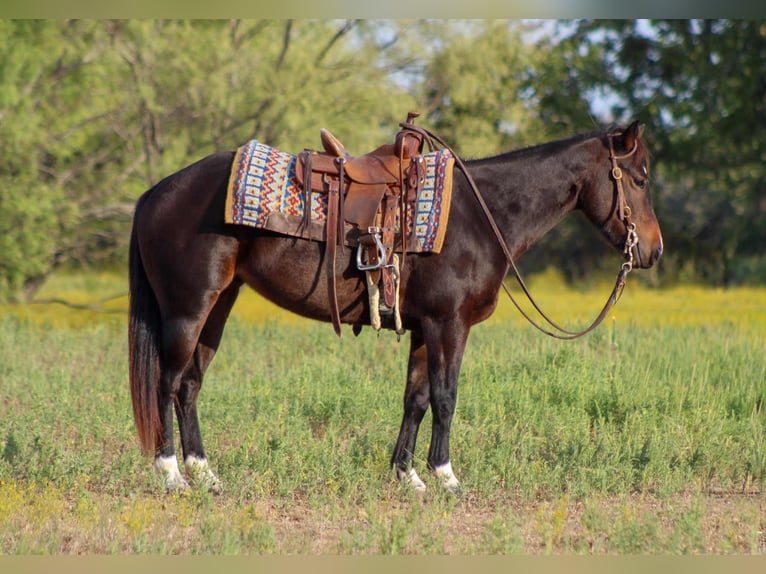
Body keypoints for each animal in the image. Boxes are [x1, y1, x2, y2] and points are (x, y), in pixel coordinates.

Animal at [128, 119, 663, 493]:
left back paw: (205, 473)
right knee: (168, 382)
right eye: (639, 179)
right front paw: (446, 476)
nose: (653, 251)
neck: (481, 214)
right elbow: (446, 397)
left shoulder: (425, 327)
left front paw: (408, 476)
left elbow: (416, 398)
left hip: (218, 306)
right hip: (188, 309)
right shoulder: (449, 324)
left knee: (190, 386)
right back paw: (171, 474)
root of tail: (155, 192)